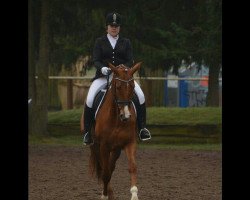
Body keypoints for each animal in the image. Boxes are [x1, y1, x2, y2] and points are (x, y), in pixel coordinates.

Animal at [89, 61, 142, 199]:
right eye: (118, 87)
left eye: (132, 87)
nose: (126, 116)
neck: (117, 119)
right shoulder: (103, 146)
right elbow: (105, 173)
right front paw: (104, 196)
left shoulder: (129, 142)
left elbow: (132, 167)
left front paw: (134, 195)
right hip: (95, 146)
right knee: (105, 169)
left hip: (116, 148)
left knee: (110, 167)